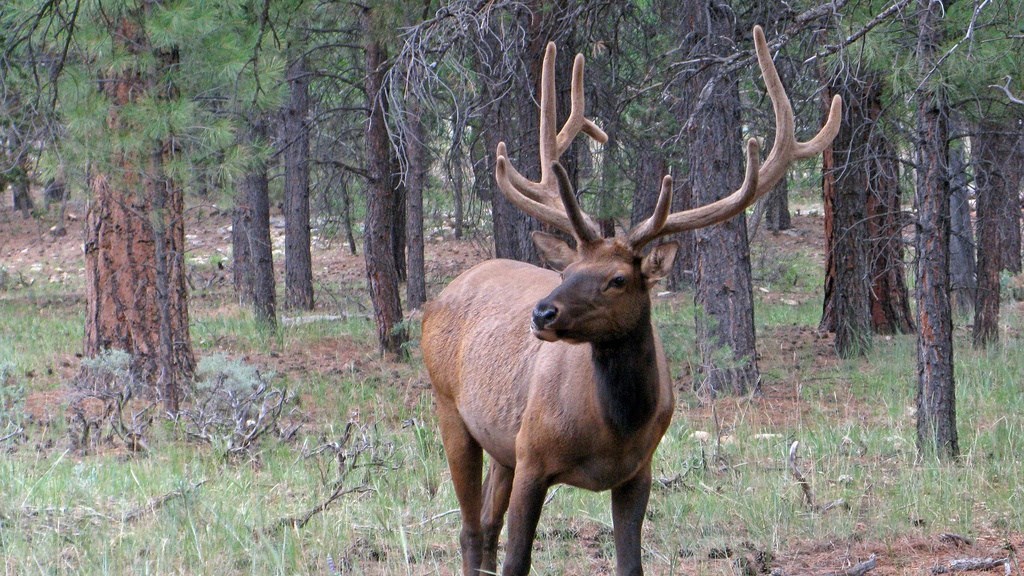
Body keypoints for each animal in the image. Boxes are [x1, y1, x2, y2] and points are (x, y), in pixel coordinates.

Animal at [419, 24, 843, 569]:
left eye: (618, 279)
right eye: (568, 269)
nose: (542, 313)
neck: (613, 427)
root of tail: (440, 296)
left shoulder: (638, 470)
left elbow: (630, 563)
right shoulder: (533, 454)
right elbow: (518, 562)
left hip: (499, 442)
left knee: (485, 526)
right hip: (450, 407)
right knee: (471, 530)